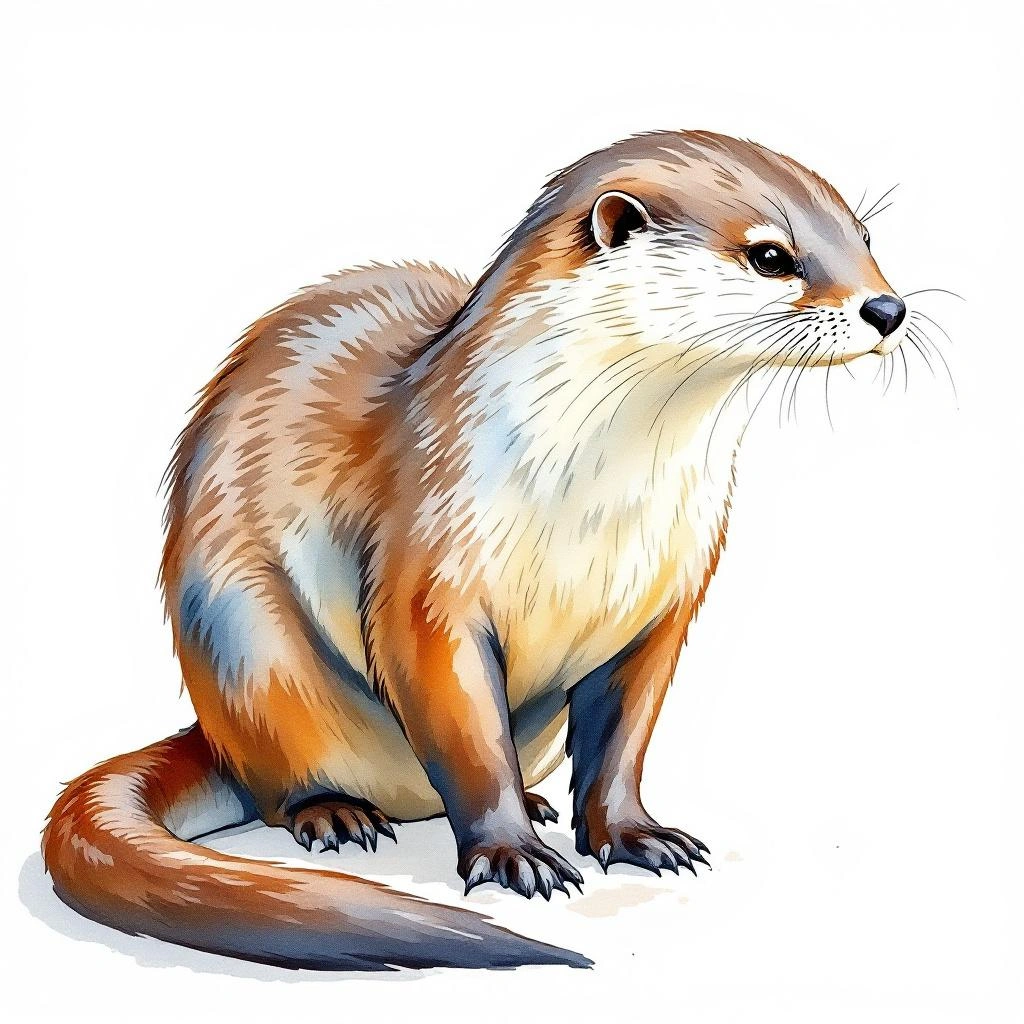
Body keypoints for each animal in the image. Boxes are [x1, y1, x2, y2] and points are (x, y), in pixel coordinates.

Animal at [43, 130, 909, 970]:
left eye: (864, 236)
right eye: (771, 255)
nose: (887, 307)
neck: (598, 505)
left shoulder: (666, 597)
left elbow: (624, 739)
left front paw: (633, 833)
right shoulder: (430, 564)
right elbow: (465, 729)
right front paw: (511, 853)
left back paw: (535, 800)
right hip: (246, 648)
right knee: (281, 773)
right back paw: (336, 811)